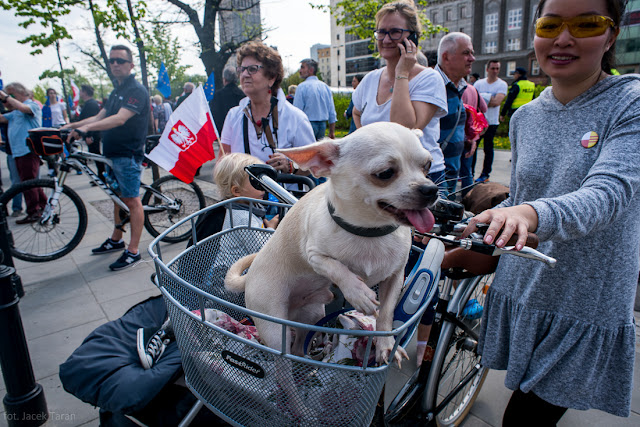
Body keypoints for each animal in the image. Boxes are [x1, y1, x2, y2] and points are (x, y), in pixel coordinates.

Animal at [222, 122, 438, 366]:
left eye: (427, 165)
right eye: (385, 174)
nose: (430, 189)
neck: (369, 232)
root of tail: (249, 277)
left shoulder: (396, 277)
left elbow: (386, 314)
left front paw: (386, 345)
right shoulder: (315, 256)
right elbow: (337, 268)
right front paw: (358, 293)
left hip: (313, 314)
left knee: (298, 347)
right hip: (275, 328)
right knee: (282, 357)